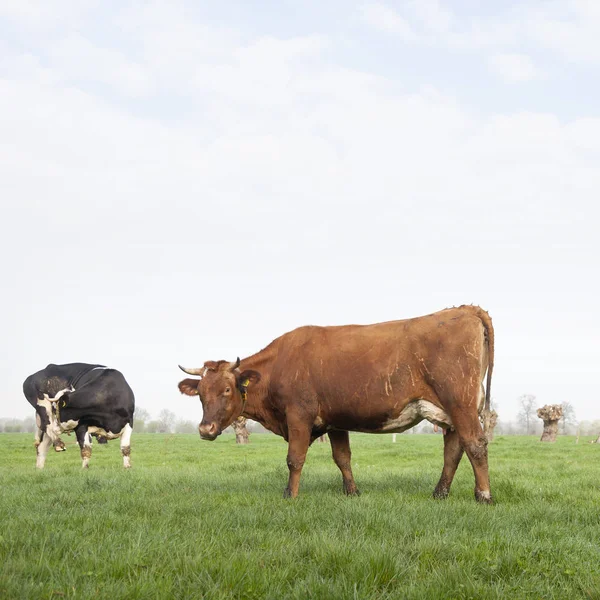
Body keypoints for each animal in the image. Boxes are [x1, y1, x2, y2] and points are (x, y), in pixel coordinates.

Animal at [179, 304, 496, 502]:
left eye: (227, 390)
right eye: (202, 393)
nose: (205, 430)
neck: (280, 363)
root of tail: (464, 309)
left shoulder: (299, 416)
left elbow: (295, 459)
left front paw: (290, 495)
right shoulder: (335, 421)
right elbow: (342, 458)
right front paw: (352, 492)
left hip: (460, 404)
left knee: (475, 444)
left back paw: (484, 496)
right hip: (449, 412)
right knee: (453, 450)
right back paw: (439, 493)